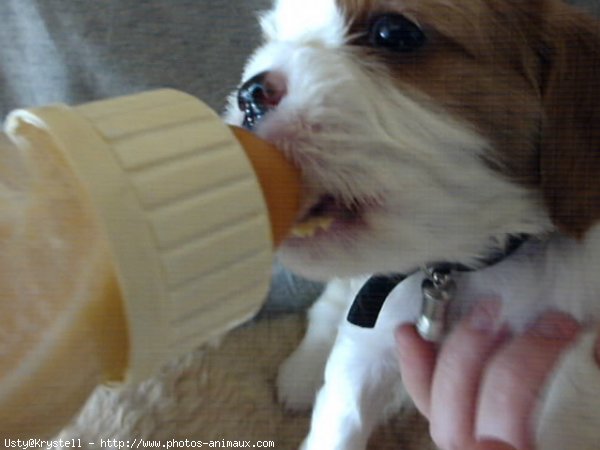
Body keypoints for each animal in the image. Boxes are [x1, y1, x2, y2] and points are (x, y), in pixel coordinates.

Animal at [225, 1, 600, 448]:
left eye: (394, 33)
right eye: (273, 36)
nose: (249, 95)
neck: (468, 267)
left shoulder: (569, 385)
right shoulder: (370, 342)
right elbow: (339, 418)